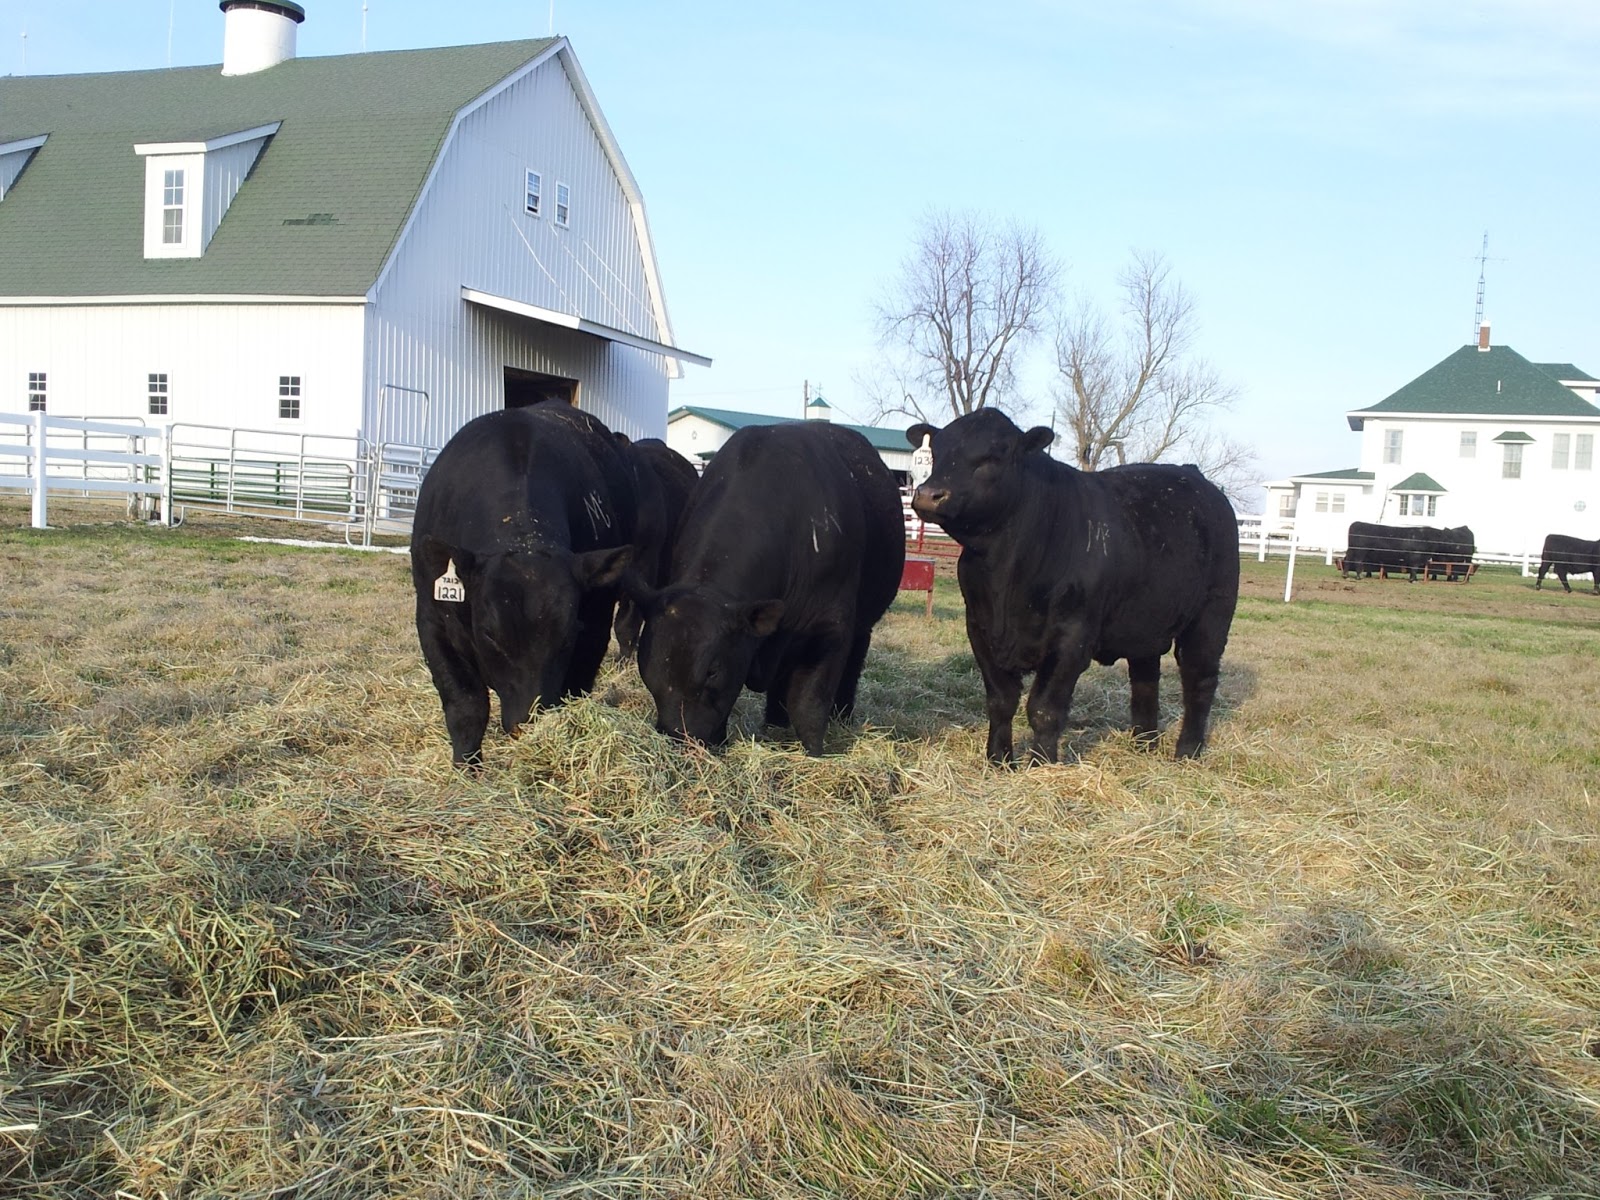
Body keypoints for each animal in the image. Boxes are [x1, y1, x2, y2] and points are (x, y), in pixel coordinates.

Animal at [411, 403, 636, 767]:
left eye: (568, 634)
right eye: (489, 634)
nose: (526, 723)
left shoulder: (595, 624)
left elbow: (575, 689)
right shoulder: (432, 619)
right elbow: (466, 706)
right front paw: (466, 768)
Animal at [632, 421, 905, 755]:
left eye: (712, 671)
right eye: (647, 672)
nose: (681, 738)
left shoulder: (830, 628)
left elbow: (810, 703)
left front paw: (815, 755)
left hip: (861, 626)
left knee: (853, 662)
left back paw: (842, 715)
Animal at [906, 409, 1238, 762]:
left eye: (995, 456)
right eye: (937, 452)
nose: (928, 494)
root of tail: (1195, 477)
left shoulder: (1072, 637)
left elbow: (1043, 709)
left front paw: (1042, 764)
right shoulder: (980, 629)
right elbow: (1001, 702)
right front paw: (999, 760)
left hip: (1211, 617)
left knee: (1199, 679)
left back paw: (1187, 751)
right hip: (1146, 623)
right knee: (1146, 680)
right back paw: (1143, 743)